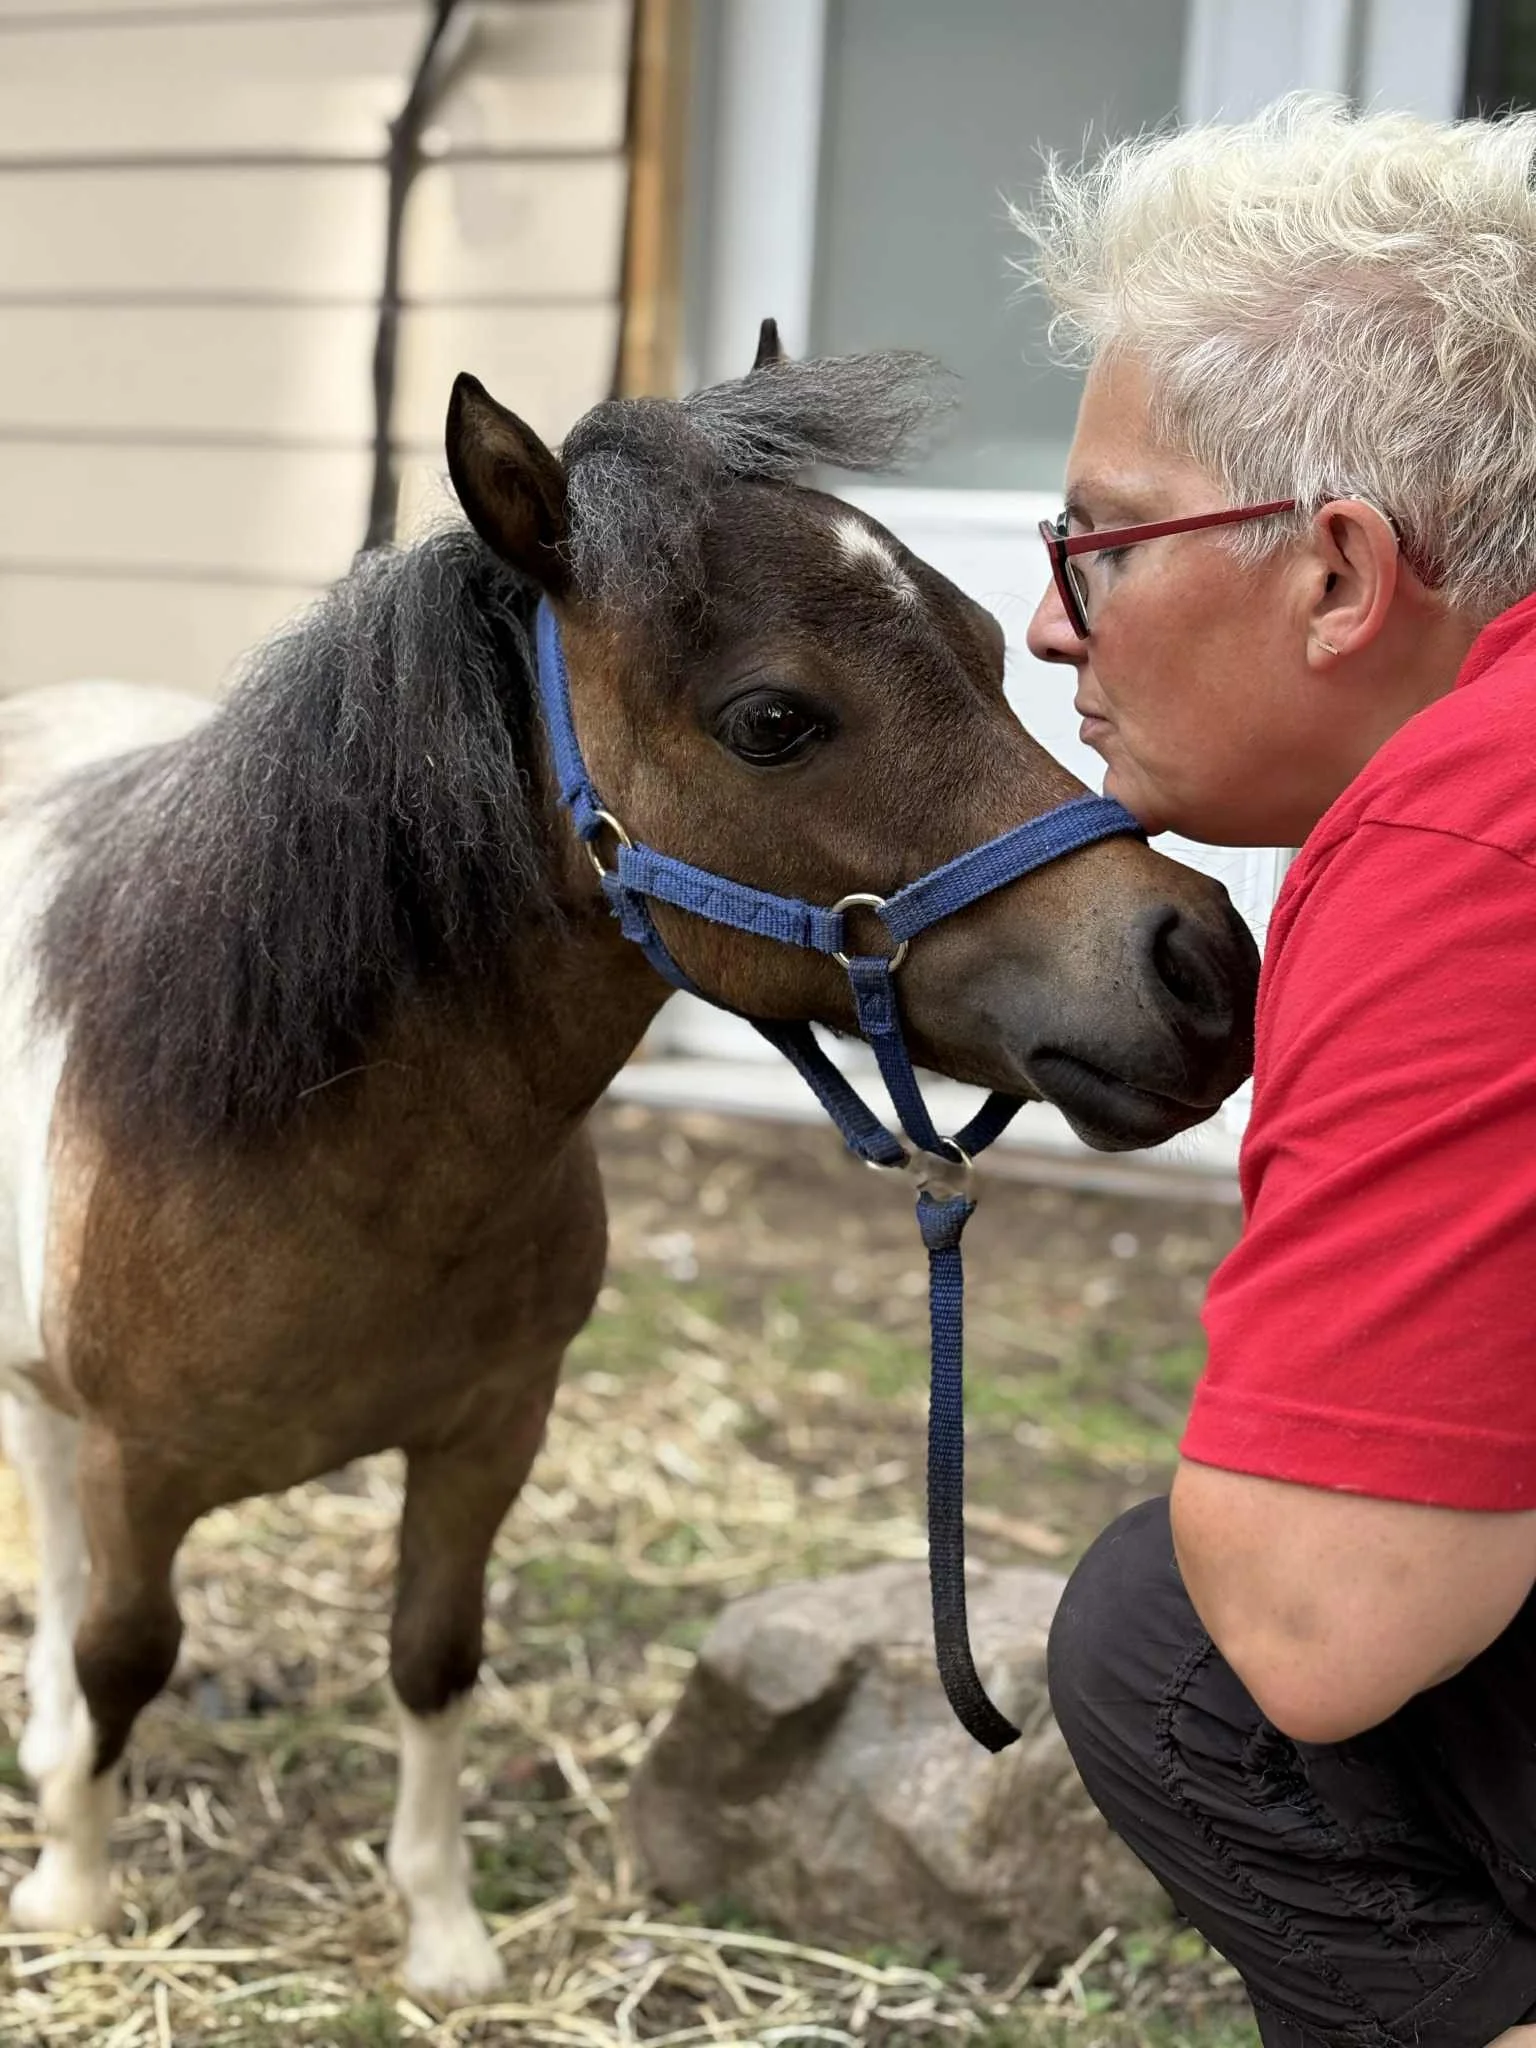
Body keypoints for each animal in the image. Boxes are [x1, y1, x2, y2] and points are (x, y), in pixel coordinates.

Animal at [0, 339, 1258, 2002]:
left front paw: (445, 1939)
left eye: (995, 645)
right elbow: (122, 1651)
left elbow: (433, 1661)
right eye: (775, 718)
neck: (326, 1162)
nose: (1206, 967)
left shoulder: (489, 1437)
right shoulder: (142, 1467)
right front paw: (72, 1889)